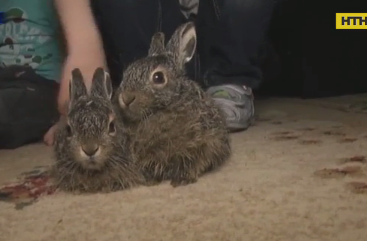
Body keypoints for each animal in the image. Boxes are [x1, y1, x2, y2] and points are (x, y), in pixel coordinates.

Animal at [115, 22, 231, 186]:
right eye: (127, 73)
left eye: (158, 77)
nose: (126, 97)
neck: (160, 109)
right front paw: (151, 180)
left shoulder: (206, 143)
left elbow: (195, 161)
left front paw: (183, 179)